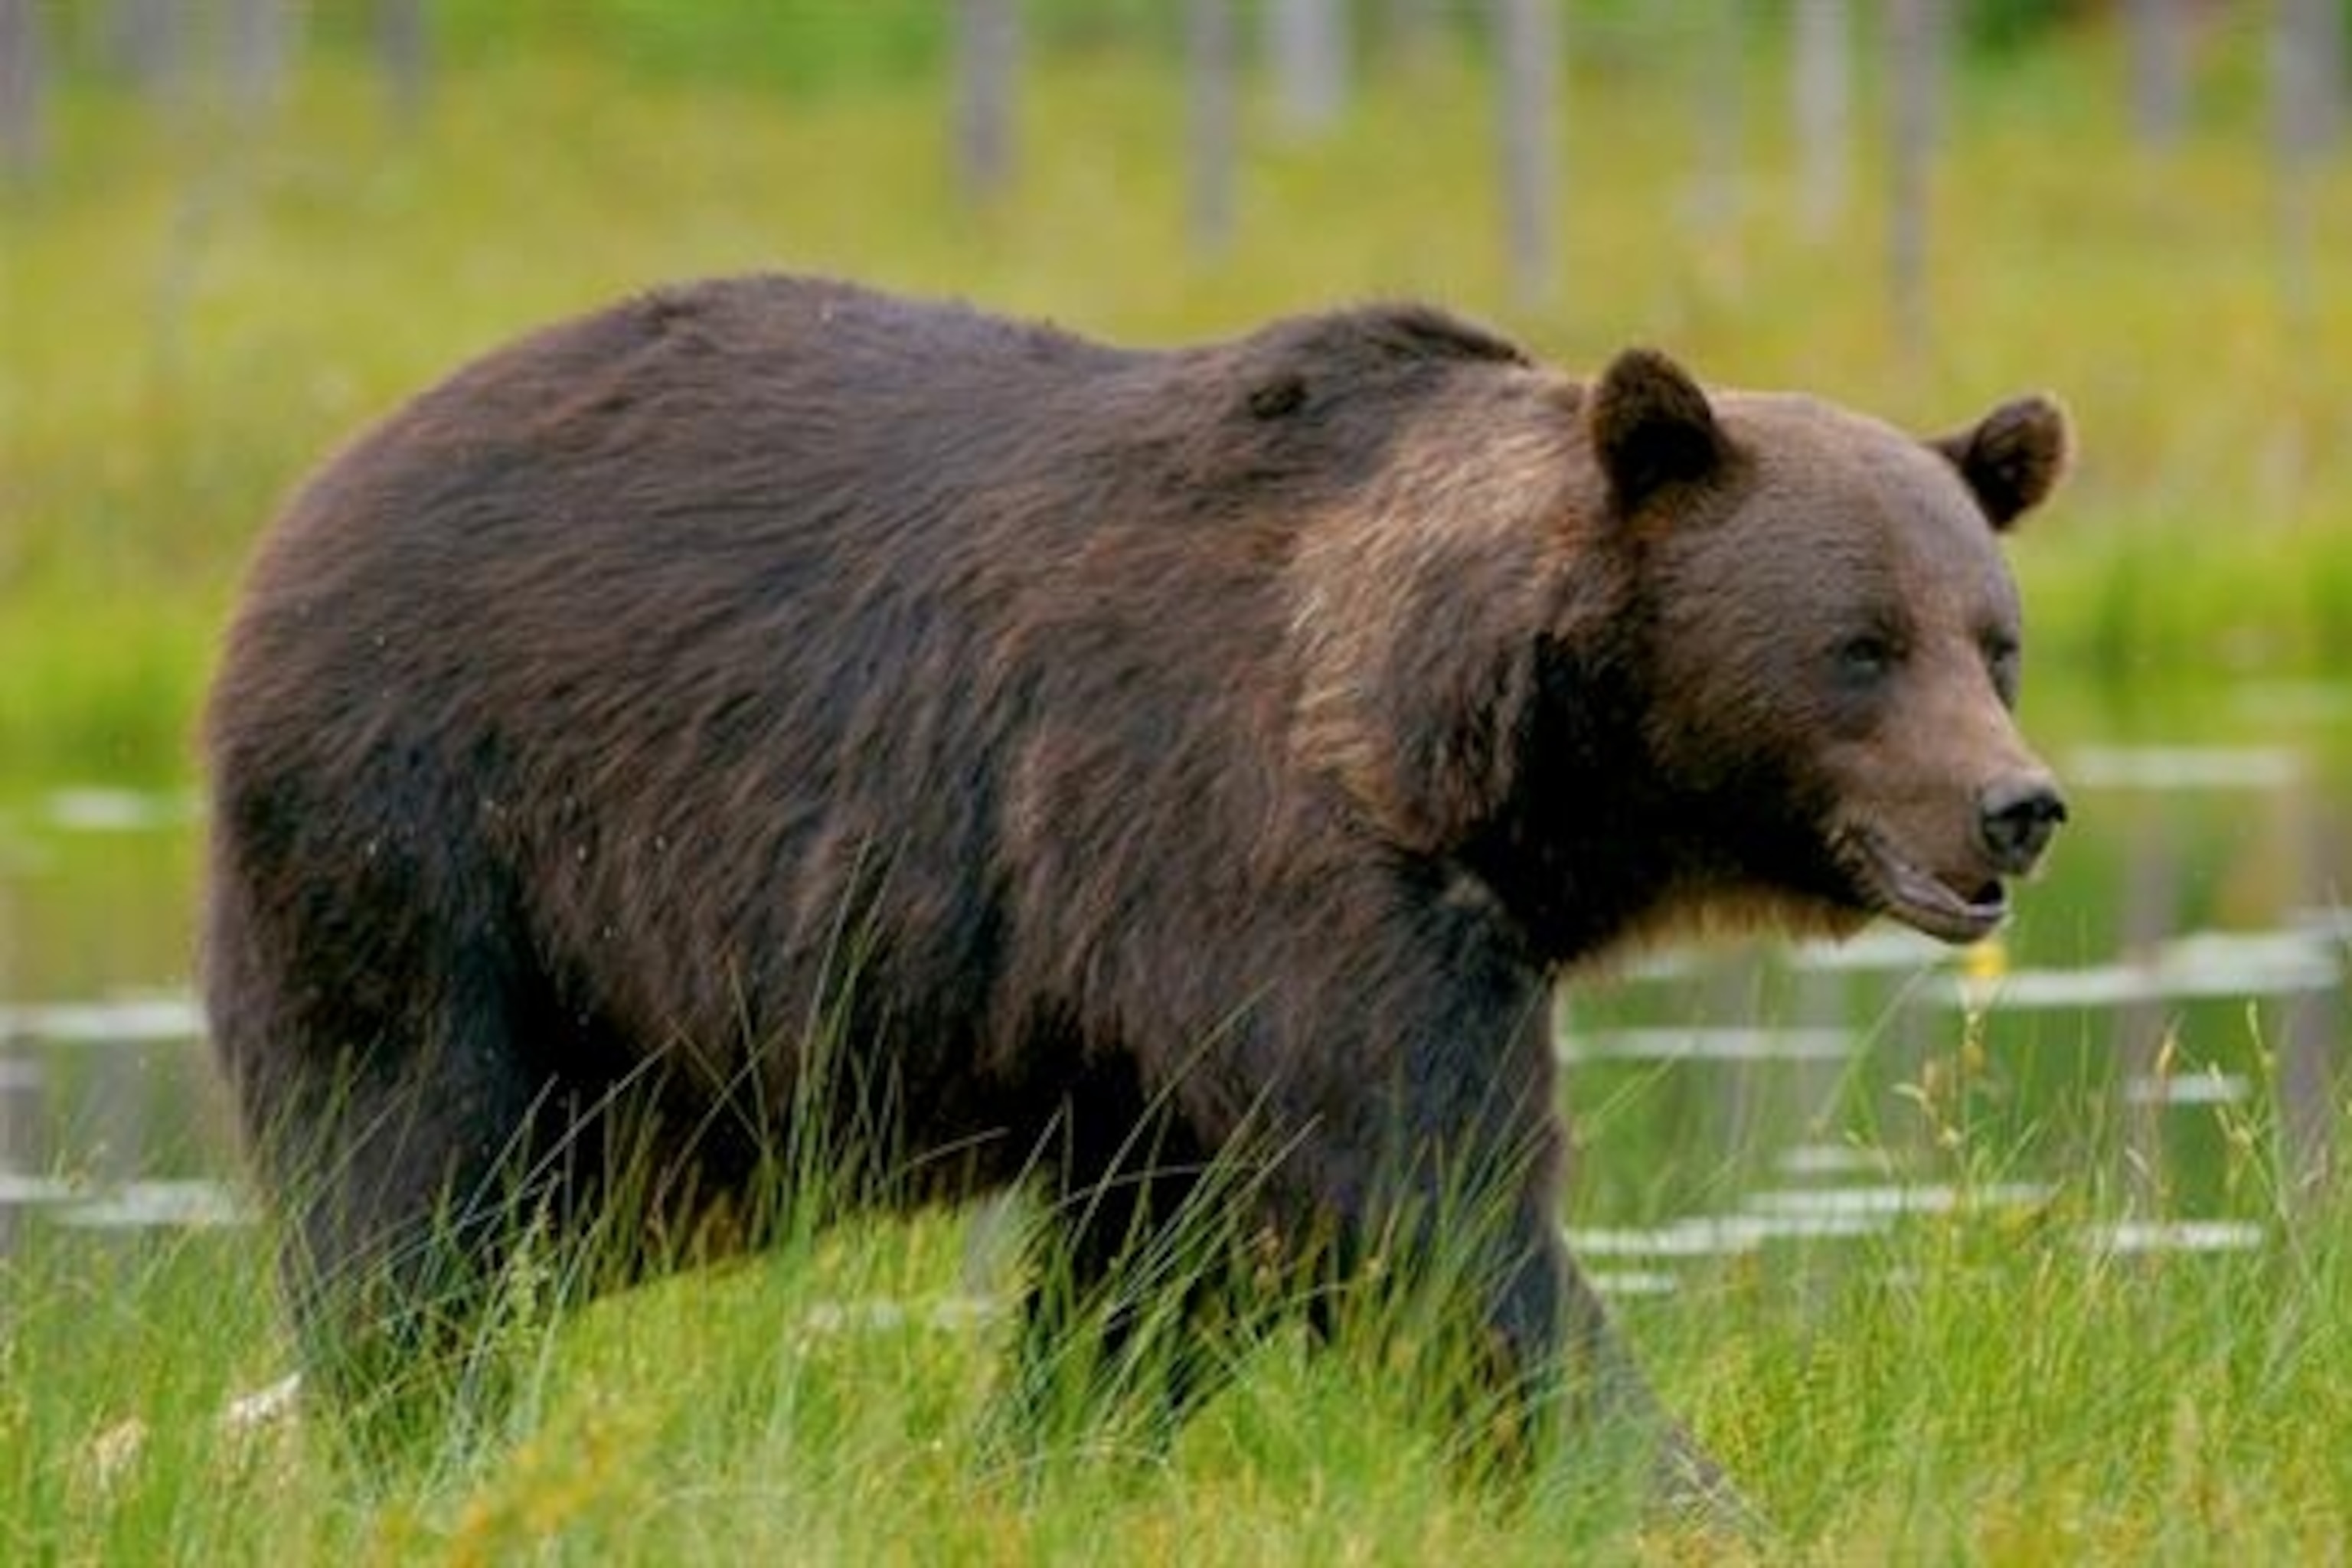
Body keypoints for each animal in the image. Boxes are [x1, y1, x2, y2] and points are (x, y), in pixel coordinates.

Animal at [211, 278, 2069, 1504]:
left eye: (1994, 639)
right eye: (1857, 646)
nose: (2018, 806)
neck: (1462, 754)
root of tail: (309, 499)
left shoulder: (1149, 1007)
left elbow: (1155, 1272)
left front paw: (1047, 1459)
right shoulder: (1256, 856)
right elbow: (1428, 1212)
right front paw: (1665, 1485)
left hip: (640, 1059)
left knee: (536, 1225)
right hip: (448, 843)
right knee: (409, 1187)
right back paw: (396, 1433)